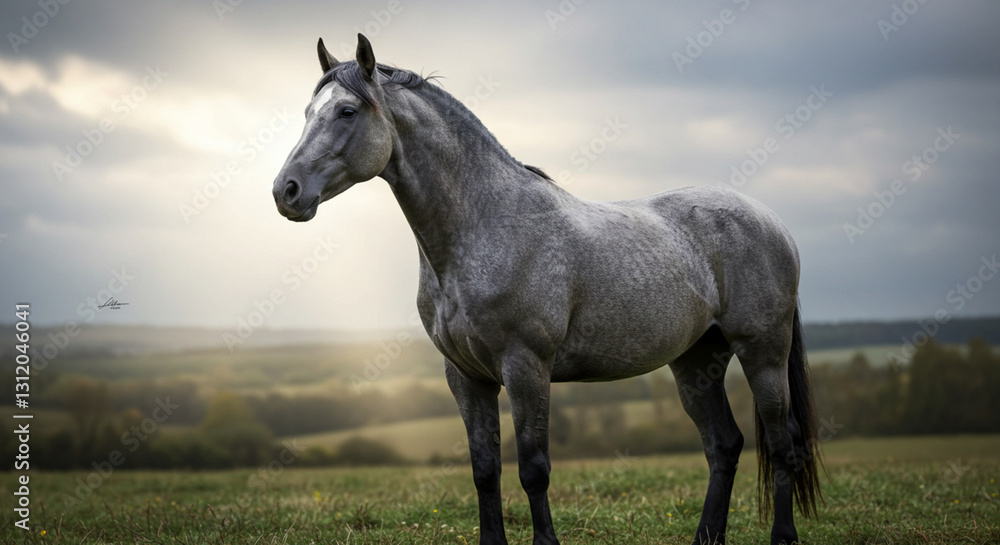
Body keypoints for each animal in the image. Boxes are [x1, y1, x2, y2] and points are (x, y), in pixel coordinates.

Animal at [272, 33, 821, 545]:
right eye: (308, 112)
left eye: (346, 111)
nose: (285, 191)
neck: (486, 225)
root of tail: (773, 223)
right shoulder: (465, 377)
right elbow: (485, 469)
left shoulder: (526, 367)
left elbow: (534, 468)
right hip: (695, 361)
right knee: (724, 445)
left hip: (763, 353)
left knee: (782, 441)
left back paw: (783, 536)